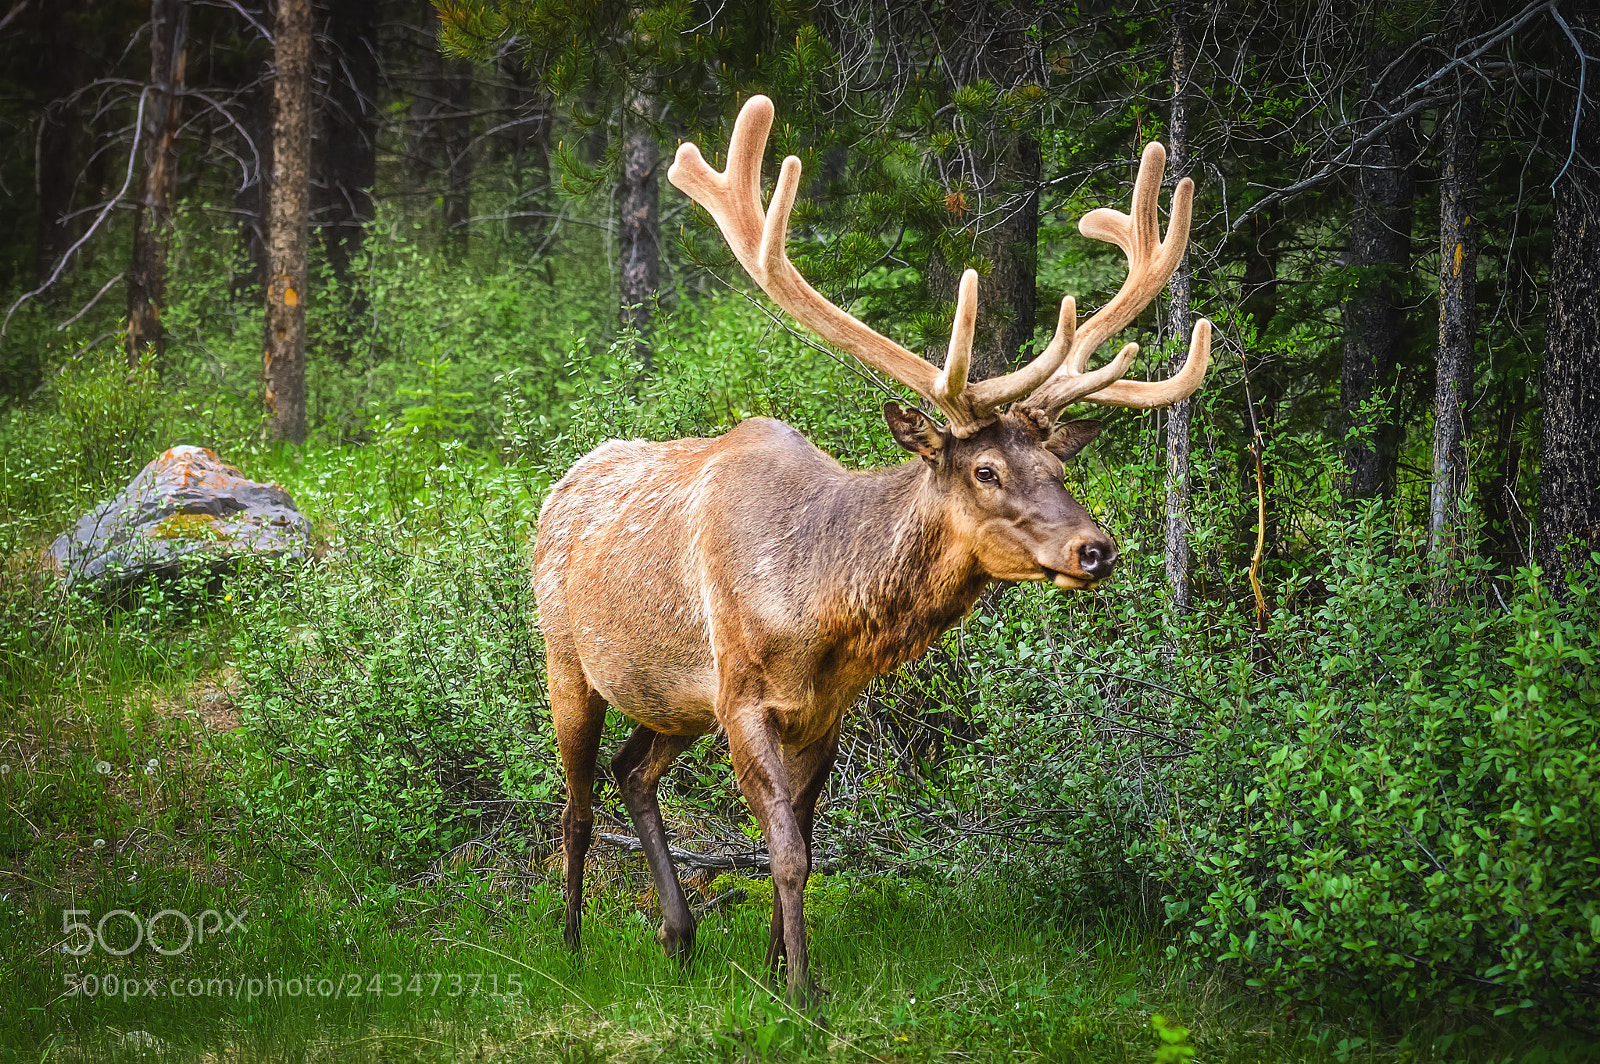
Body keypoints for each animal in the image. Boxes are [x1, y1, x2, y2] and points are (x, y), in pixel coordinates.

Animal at [532, 95, 1211, 1003]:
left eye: (1060, 465)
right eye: (986, 469)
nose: (1095, 549)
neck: (823, 614)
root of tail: (557, 488)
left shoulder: (824, 711)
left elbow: (805, 847)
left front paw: (775, 966)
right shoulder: (743, 696)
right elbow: (784, 854)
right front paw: (801, 992)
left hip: (674, 700)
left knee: (633, 771)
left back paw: (679, 936)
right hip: (569, 661)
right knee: (574, 804)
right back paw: (570, 944)